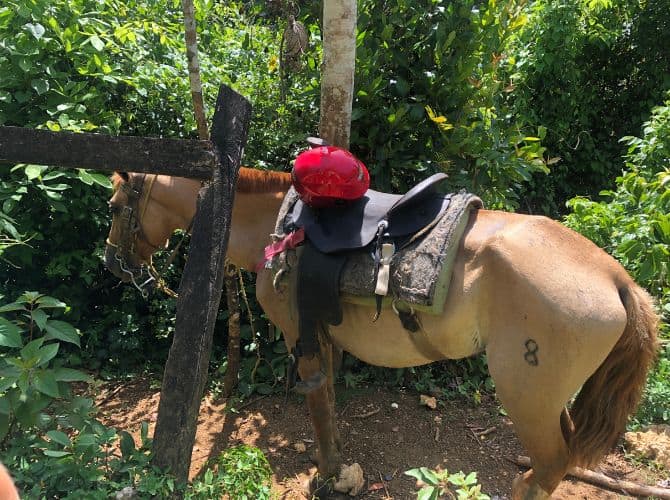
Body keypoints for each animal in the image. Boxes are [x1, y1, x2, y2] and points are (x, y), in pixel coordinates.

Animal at [102, 169, 660, 500]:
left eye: (113, 207)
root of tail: (618, 278)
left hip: (526, 394)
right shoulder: (324, 335)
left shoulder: (300, 334)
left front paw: (329, 473)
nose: (111, 264)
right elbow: (328, 397)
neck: (275, 226)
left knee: (547, 468)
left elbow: (317, 400)